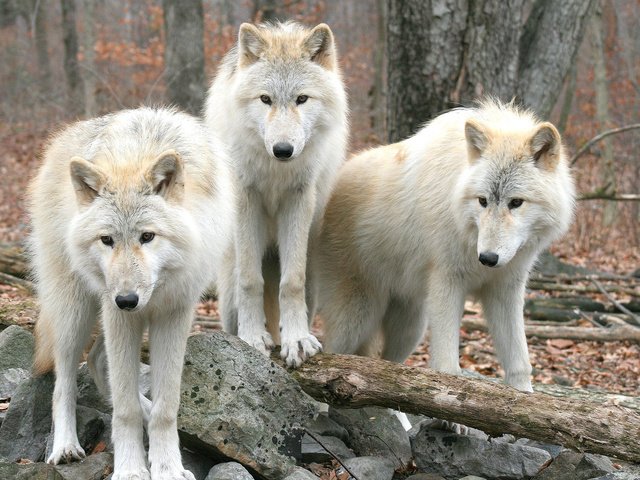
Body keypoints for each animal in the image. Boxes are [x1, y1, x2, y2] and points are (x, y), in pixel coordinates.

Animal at [28, 109, 232, 480]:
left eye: (147, 236)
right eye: (107, 240)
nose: (126, 301)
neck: (136, 155)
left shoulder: (174, 315)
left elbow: (167, 407)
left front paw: (168, 468)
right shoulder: (118, 316)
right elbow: (124, 410)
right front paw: (131, 469)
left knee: (97, 360)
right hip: (75, 313)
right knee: (64, 381)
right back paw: (64, 447)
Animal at [205, 21, 348, 368]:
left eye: (302, 99)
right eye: (265, 99)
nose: (283, 150)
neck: (275, 169)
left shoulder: (299, 199)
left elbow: (290, 283)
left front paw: (296, 341)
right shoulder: (247, 198)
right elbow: (250, 280)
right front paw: (252, 338)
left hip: (312, 275)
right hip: (228, 291)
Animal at [320, 100, 576, 394]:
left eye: (516, 203)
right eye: (482, 201)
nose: (488, 258)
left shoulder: (505, 288)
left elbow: (520, 362)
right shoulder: (447, 281)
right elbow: (446, 366)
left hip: (411, 327)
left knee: (388, 365)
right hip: (357, 318)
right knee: (332, 353)